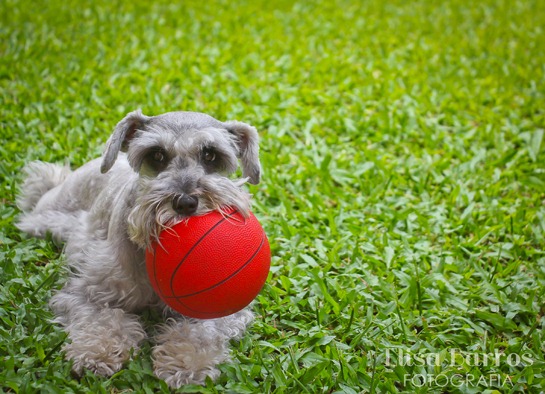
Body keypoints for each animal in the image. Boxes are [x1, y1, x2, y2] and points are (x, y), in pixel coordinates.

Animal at [16, 109, 262, 386]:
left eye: (210, 154)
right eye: (157, 155)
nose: (185, 202)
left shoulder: (221, 308)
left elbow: (202, 332)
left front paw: (186, 363)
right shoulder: (87, 292)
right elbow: (100, 319)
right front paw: (98, 353)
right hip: (49, 216)